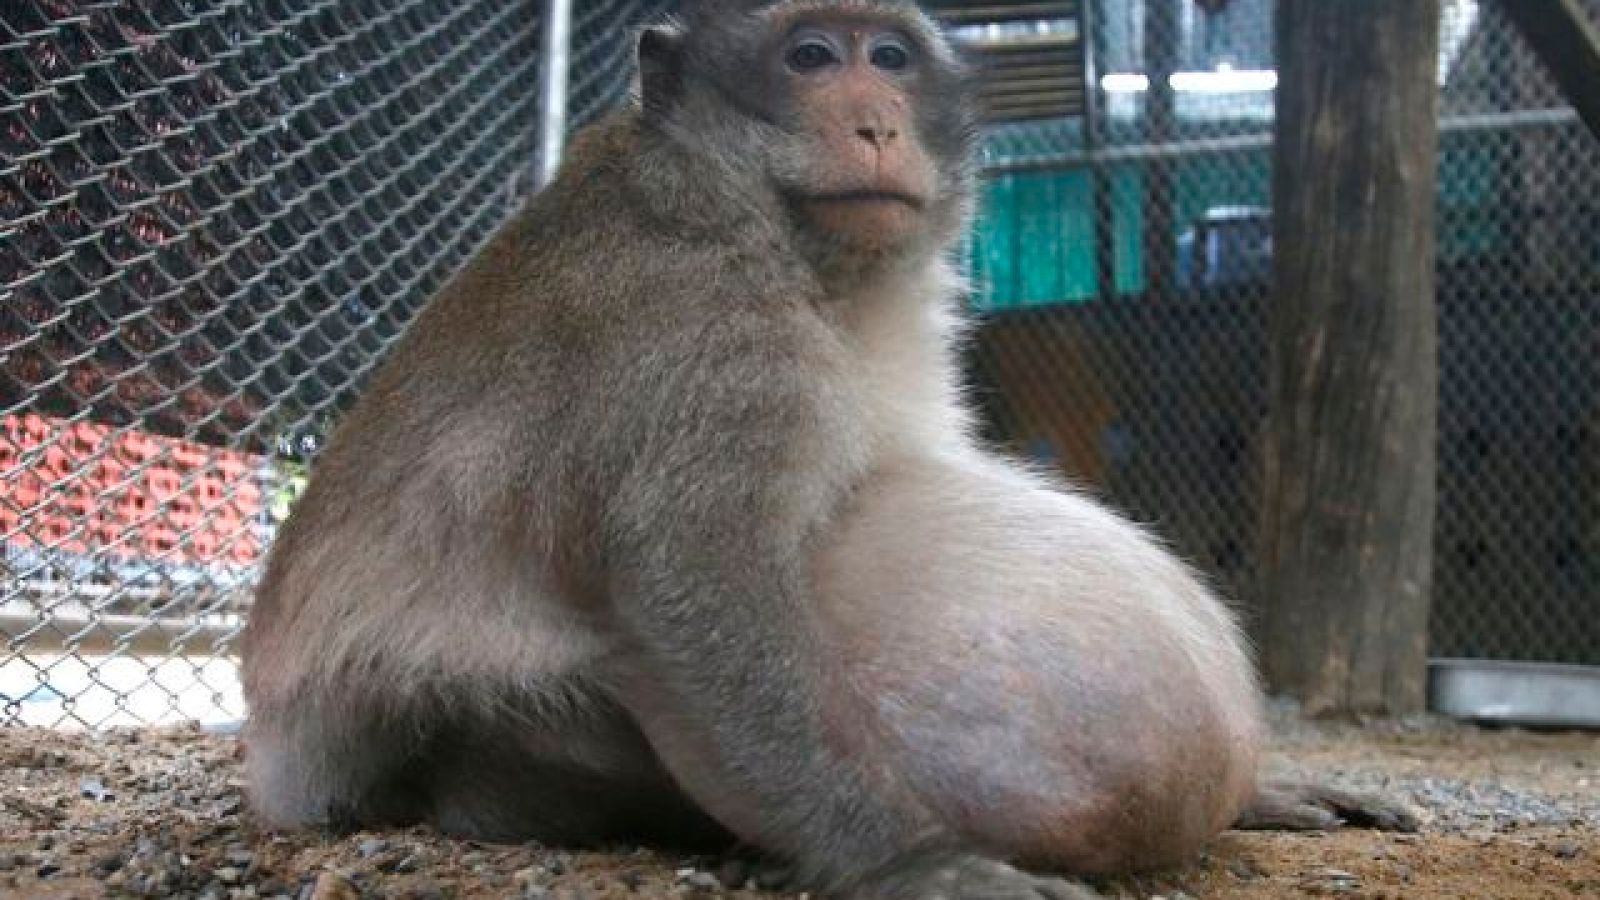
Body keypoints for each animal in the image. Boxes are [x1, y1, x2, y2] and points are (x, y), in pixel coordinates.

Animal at [239, 2, 1414, 898]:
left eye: (887, 58)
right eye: (810, 57)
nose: (876, 122)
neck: (787, 242)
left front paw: (1266, 788)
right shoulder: (701, 334)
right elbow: (686, 584)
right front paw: (909, 861)